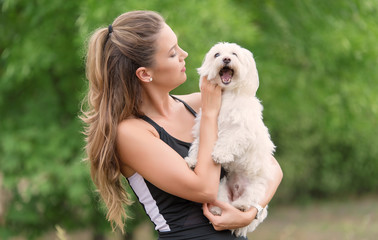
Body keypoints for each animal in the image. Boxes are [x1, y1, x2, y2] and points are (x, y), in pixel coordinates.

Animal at [185, 42, 276, 236]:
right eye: (217, 54)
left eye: (234, 54)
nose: (226, 59)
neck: (226, 96)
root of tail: (236, 191)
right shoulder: (203, 127)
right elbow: (198, 145)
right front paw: (192, 160)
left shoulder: (240, 130)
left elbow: (228, 141)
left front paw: (220, 155)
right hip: (220, 187)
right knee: (222, 202)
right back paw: (218, 210)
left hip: (257, 186)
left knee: (250, 199)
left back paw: (241, 206)